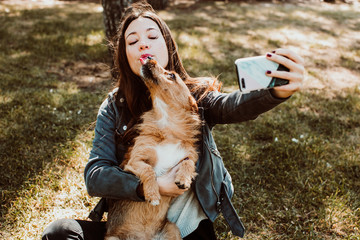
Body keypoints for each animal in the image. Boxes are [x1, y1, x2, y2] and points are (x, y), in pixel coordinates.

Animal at [105, 58, 202, 240]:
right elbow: (149, 171)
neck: (168, 127)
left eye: (171, 75)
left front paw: (184, 179)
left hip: (172, 229)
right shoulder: (135, 161)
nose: (150, 58)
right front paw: (153, 195)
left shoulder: (189, 156)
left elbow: (188, 163)